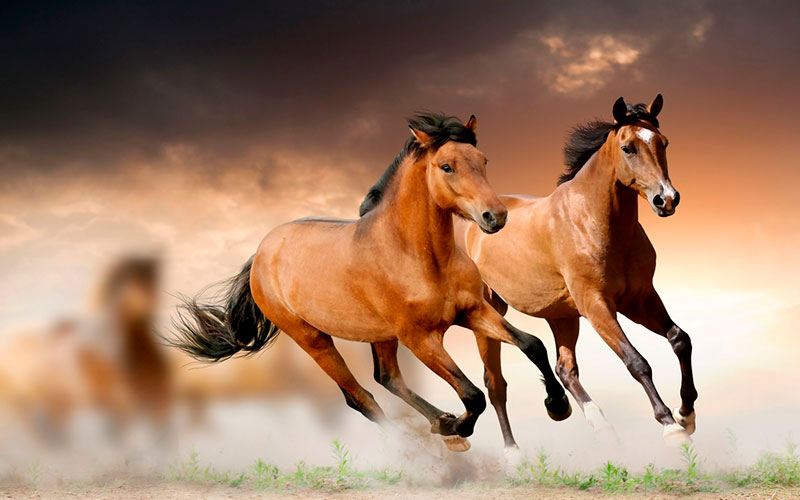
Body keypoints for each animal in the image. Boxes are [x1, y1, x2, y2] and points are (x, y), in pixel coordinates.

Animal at [170, 113, 570, 452]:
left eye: (483, 160)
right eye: (446, 166)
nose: (495, 216)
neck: (420, 257)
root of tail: (261, 253)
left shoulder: (472, 311)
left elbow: (532, 345)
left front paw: (558, 405)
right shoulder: (420, 338)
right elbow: (473, 394)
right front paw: (457, 427)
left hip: (380, 335)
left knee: (387, 378)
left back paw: (440, 424)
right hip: (313, 339)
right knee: (360, 397)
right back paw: (426, 445)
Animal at [459, 95, 697, 451]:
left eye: (663, 143)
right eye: (628, 148)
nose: (666, 199)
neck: (594, 221)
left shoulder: (640, 300)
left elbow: (680, 340)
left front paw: (687, 413)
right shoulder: (596, 305)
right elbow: (636, 361)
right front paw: (670, 425)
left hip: (562, 316)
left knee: (564, 369)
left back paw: (594, 422)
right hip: (489, 313)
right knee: (495, 383)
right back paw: (514, 452)